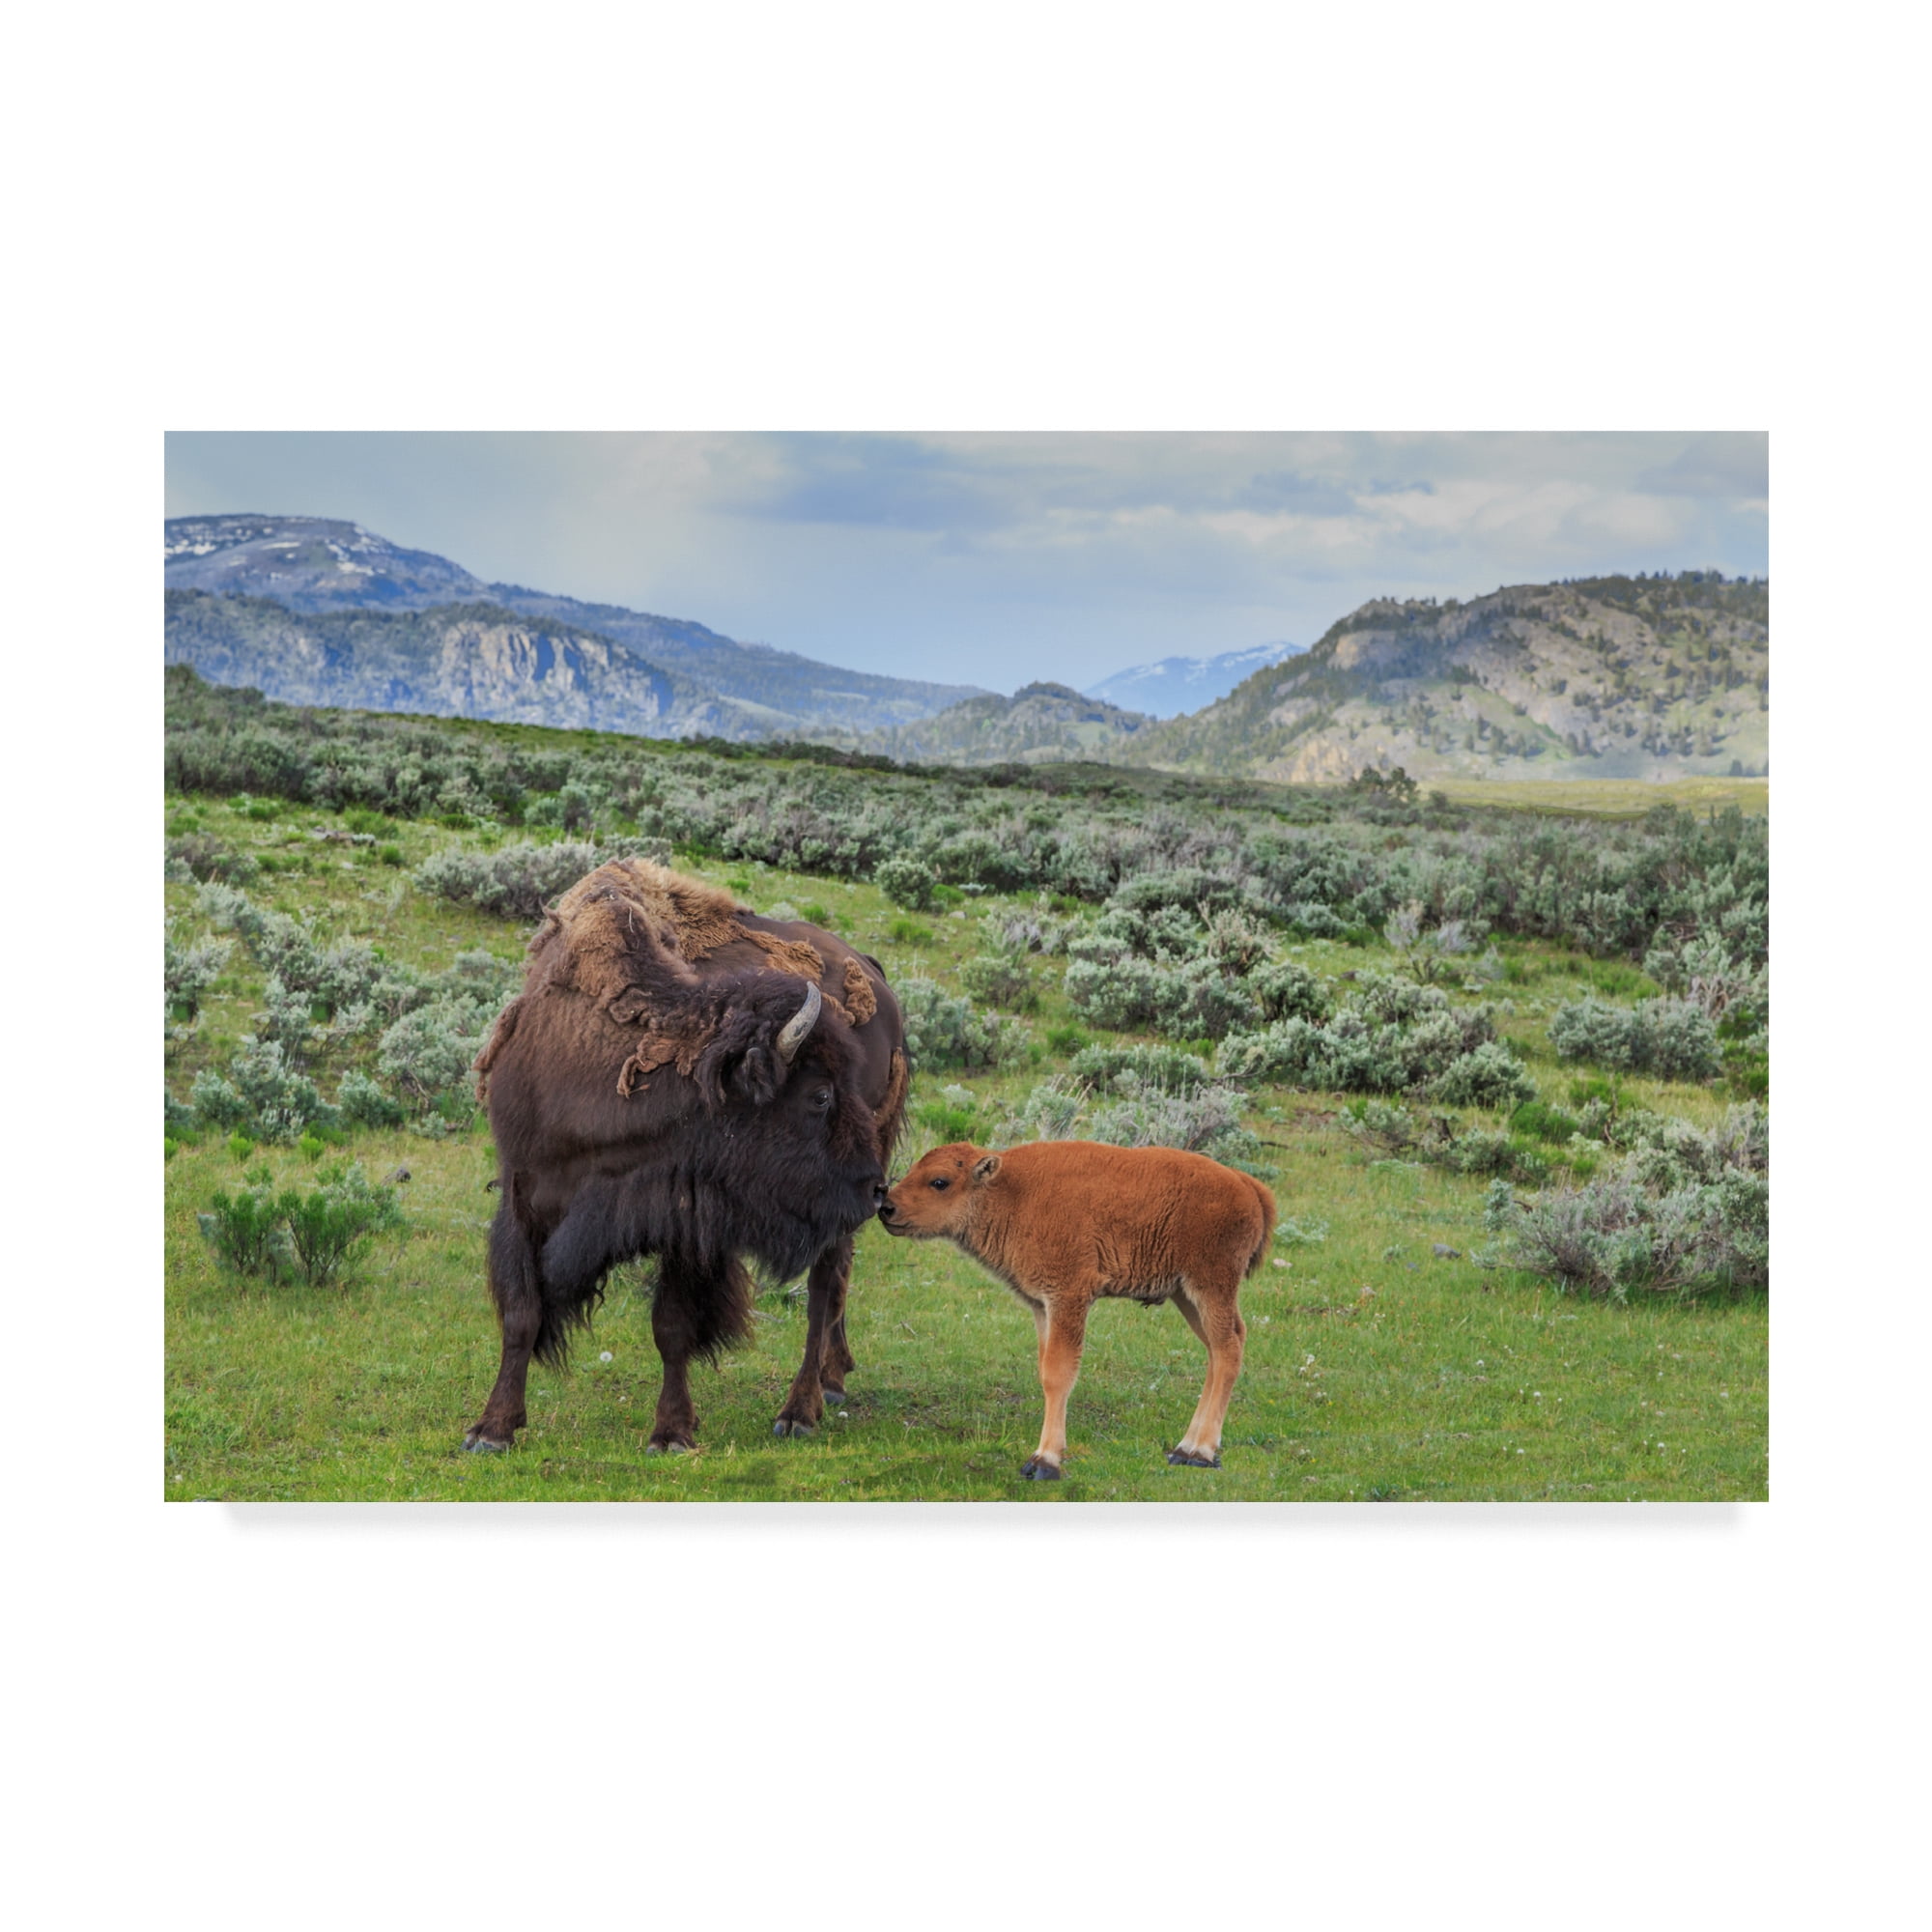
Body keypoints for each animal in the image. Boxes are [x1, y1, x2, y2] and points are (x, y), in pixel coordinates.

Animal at [463, 858, 906, 1454]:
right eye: (819, 1095)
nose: (874, 1188)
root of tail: (874, 975)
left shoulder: (683, 1221)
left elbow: (670, 1326)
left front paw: (671, 1432)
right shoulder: (523, 1191)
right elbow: (521, 1314)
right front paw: (492, 1429)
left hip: (831, 1213)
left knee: (822, 1290)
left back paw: (799, 1411)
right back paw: (834, 1379)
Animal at [878, 1140, 1275, 1479]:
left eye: (939, 1181)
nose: (886, 1208)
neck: (1011, 1192)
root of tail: (1246, 1184)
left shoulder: (1068, 1297)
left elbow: (1058, 1374)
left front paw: (1044, 1461)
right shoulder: (1042, 1306)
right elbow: (1045, 1371)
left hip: (1210, 1286)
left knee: (1228, 1349)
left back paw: (1201, 1453)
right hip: (1186, 1295)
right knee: (1217, 1351)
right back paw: (1185, 1448)